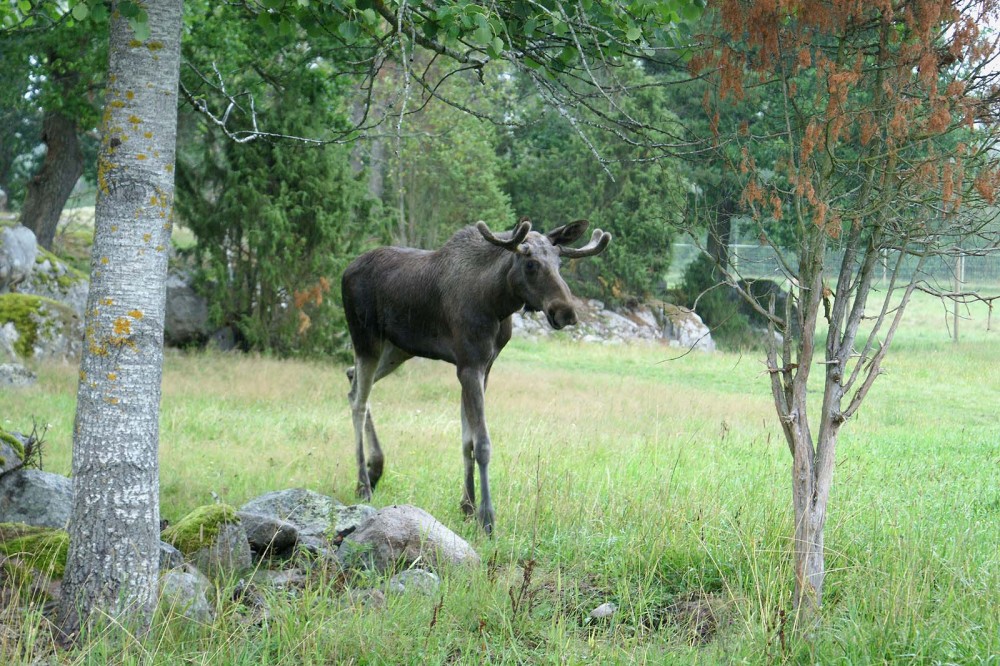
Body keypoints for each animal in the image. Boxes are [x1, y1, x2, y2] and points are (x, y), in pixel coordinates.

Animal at [342, 217, 608, 528]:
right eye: (530, 264)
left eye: (559, 262)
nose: (566, 312)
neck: (496, 303)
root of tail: (346, 270)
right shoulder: (470, 365)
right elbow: (481, 443)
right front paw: (486, 517)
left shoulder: (483, 367)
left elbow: (466, 439)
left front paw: (467, 506)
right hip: (366, 338)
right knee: (359, 401)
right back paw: (363, 483)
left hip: (397, 349)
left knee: (352, 379)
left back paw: (375, 469)